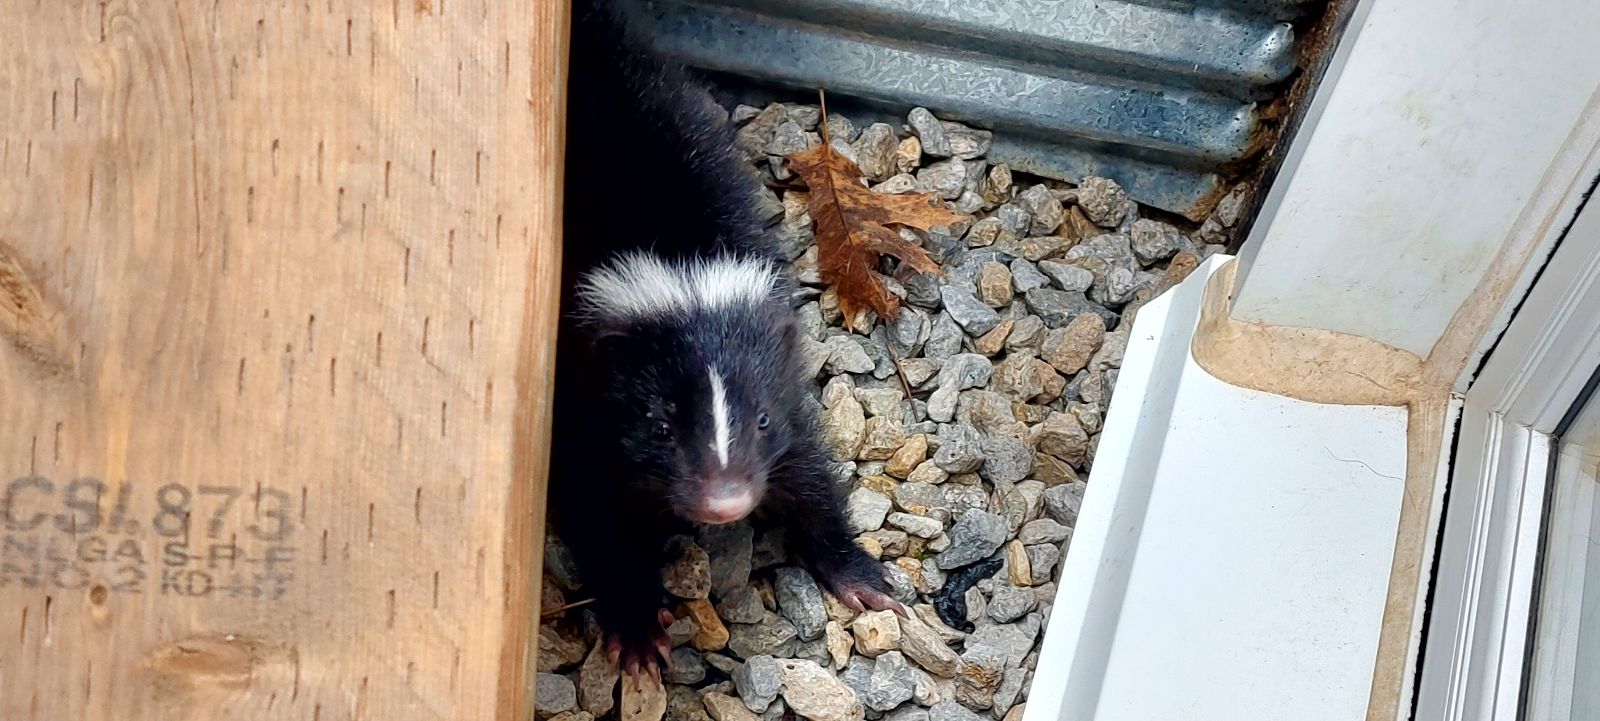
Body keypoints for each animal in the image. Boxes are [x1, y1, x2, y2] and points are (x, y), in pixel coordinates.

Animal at [550, 0, 902, 677]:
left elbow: (806, 471)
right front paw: (636, 625)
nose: (727, 502)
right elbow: (591, 505)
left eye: (759, 419)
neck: (675, 253)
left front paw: (860, 577)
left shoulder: (784, 385)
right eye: (660, 425)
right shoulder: (576, 394)